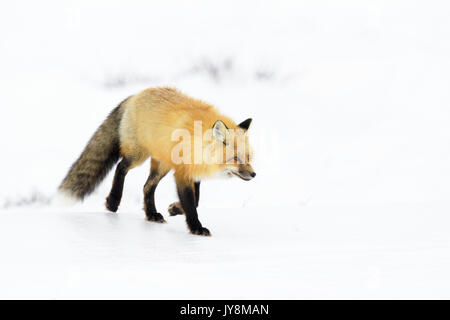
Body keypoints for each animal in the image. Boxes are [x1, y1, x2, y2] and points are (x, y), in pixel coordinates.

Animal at [59, 87, 255, 235]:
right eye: (235, 158)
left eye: (248, 157)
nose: (253, 174)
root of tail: (136, 95)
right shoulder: (181, 173)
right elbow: (191, 203)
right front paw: (196, 228)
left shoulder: (192, 170)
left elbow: (196, 199)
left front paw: (175, 209)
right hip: (138, 155)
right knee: (121, 168)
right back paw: (113, 201)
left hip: (162, 164)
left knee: (147, 186)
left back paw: (152, 214)